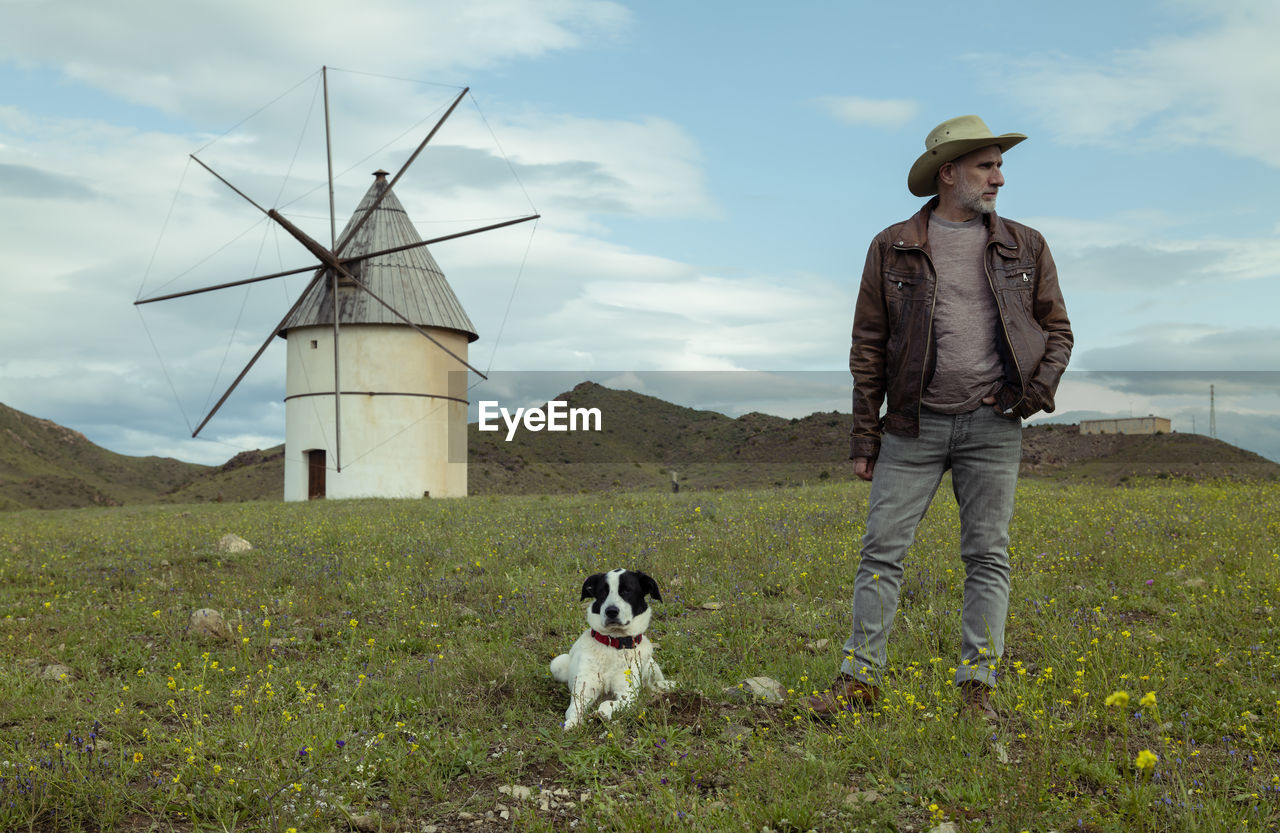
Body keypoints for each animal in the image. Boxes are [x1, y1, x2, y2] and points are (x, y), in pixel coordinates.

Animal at [547, 568, 675, 731]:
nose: (611, 611)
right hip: (558, 663)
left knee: (654, 684)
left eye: (627, 590)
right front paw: (572, 723)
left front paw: (601, 714)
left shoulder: (627, 694)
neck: (613, 643)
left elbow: (607, 702)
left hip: (652, 667)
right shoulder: (582, 692)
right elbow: (575, 710)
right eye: (603, 592)